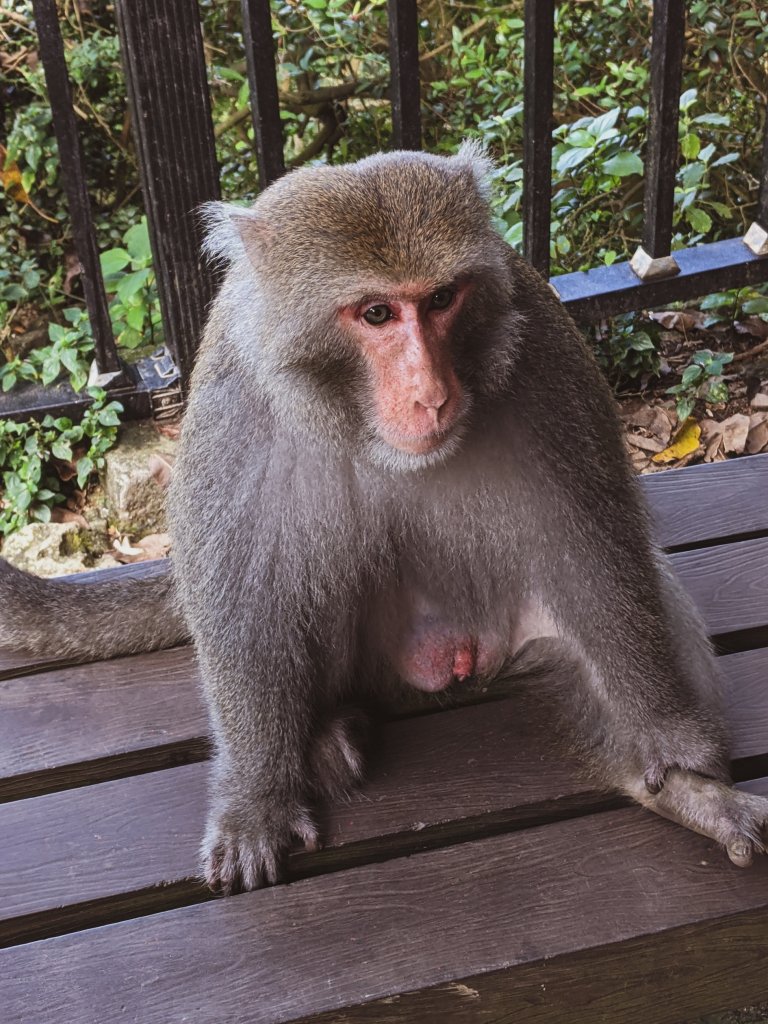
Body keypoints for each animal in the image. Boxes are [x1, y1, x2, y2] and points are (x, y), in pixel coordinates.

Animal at [1, 140, 768, 892]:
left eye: (441, 299)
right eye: (376, 314)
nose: (430, 394)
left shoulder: (546, 355)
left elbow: (593, 542)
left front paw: (673, 747)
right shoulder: (232, 401)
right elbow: (240, 595)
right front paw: (256, 798)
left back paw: (683, 797)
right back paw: (321, 733)